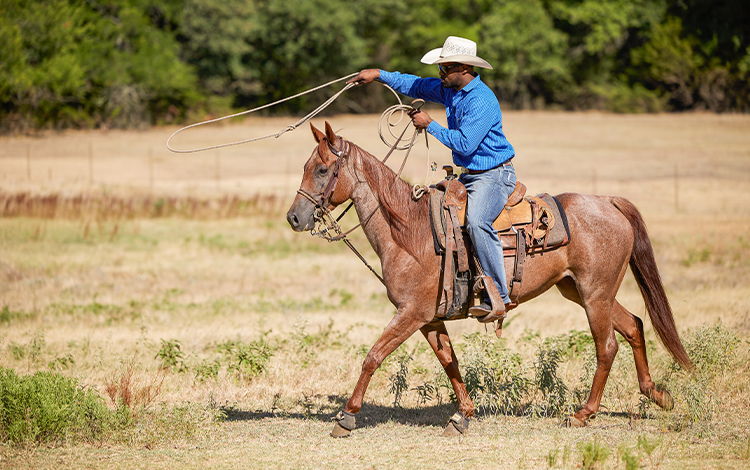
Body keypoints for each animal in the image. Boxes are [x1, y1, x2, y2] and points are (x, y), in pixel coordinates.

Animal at [286, 121, 692, 436]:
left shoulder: (411, 313)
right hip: (582, 291)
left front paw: (346, 417)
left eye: (322, 170)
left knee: (607, 346)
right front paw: (462, 416)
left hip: (595, 294)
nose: (294, 217)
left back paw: (582, 414)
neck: (410, 231)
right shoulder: (429, 318)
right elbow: (449, 362)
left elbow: (373, 355)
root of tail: (607, 201)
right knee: (635, 325)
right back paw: (657, 395)